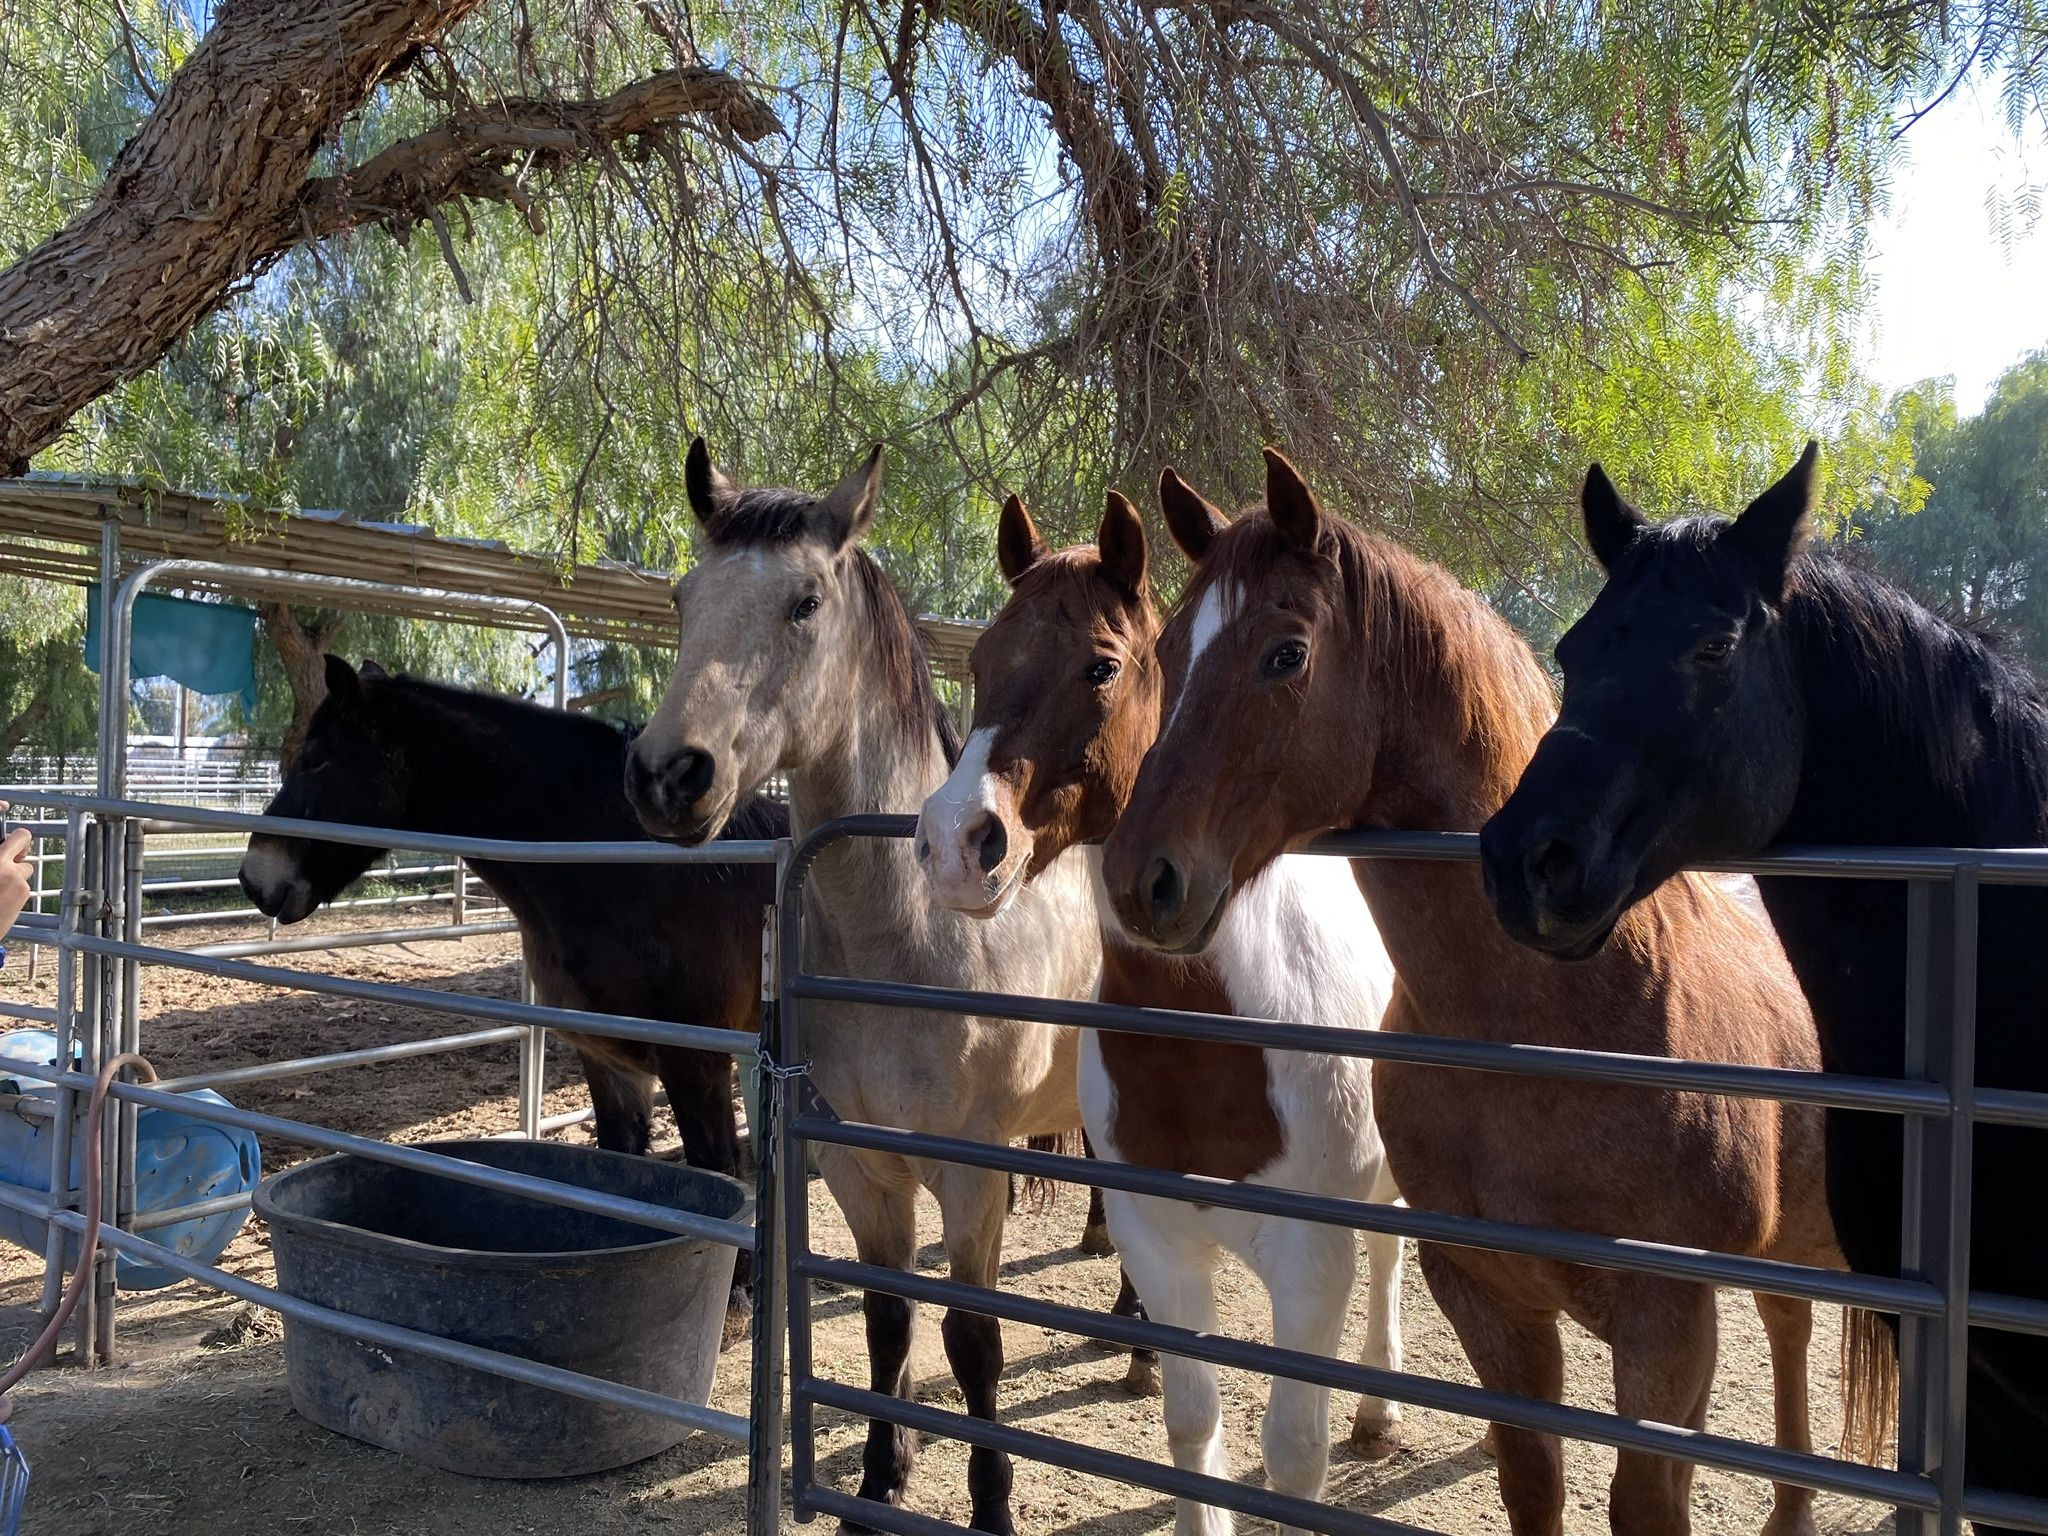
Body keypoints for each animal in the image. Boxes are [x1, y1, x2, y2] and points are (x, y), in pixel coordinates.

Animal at [238, 656, 784, 1334]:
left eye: (316, 760)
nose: (254, 879)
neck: (626, 866)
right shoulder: (608, 1059)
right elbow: (622, 1168)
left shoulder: (695, 1062)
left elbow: (721, 1171)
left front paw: (734, 1299)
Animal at [622, 441, 1110, 1535]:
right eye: (680, 597)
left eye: (804, 601)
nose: (668, 776)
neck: (918, 936)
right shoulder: (857, 1169)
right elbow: (890, 1320)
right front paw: (878, 1483)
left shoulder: (970, 1177)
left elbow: (972, 1340)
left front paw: (989, 1508)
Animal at [914, 489, 1406, 1536]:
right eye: (981, 663)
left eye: (1101, 665)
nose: (954, 841)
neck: (1218, 1033)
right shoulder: (1161, 1246)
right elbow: (1191, 1430)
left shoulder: (1309, 1267)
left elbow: (1292, 1454)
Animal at [1098, 449, 1869, 1536]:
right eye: (1166, 648)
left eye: (1285, 655)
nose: (1139, 881)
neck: (1554, 1026)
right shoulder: (1488, 1296)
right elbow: (1532, 1480)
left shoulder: (1666, 1320)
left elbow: (1647, 1500)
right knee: (1791, 1323)